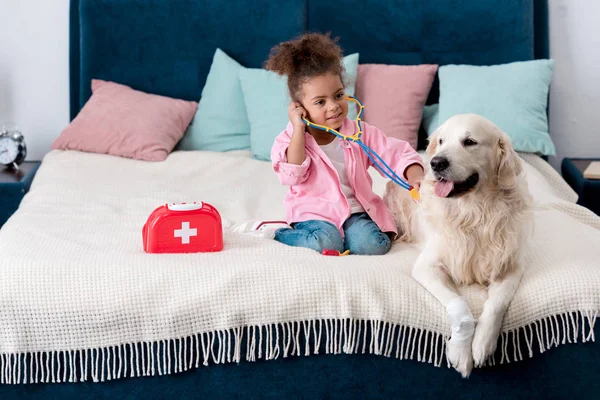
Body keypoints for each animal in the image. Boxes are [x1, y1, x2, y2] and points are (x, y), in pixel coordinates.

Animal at [386, 113, 532, 378]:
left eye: (470, 141)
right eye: (442, 141)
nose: (436, 163)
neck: (474, 213)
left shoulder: (511, 266)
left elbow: (496, 304)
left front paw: (483, 344)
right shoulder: (427, 267)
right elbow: (459, 304)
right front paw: (461, 351)